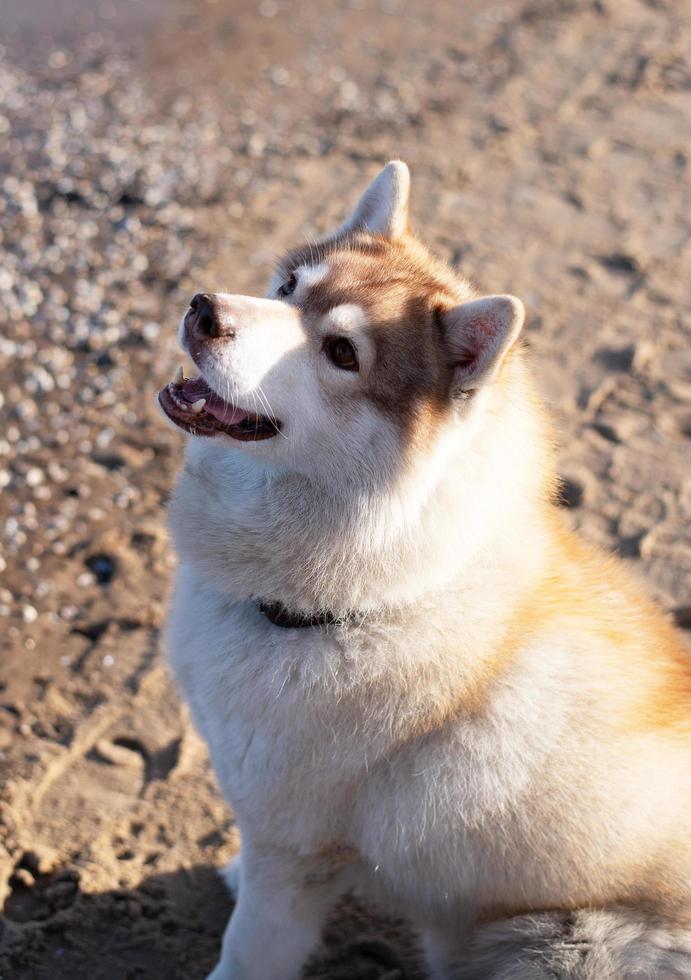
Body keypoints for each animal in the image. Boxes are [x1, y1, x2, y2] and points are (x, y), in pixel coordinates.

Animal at [159, 165, 691, 976]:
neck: (358, 603)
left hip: (560, 941)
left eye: (342, 353)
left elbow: (247, 950)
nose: (203, 309)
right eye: (287, 285)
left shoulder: (293, 851)